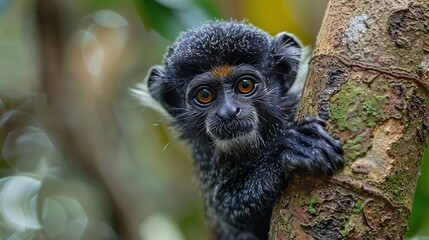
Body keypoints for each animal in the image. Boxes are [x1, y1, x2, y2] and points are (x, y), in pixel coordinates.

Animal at [139, 20, 342, 240]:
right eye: (204, 95)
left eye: (245, 85)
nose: (228, 112)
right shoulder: (206, 159)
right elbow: (227, 210)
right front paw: (284, 154)